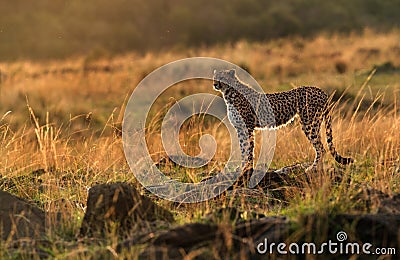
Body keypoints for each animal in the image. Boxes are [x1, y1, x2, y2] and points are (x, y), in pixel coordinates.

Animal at [212, 69, 354, 180]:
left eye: (222, 78)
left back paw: (312, 168)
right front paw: (241, 168)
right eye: (215, 77)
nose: (215, 84)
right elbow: (243, 148)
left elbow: (248, 149)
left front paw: (247, 169)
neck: (228, 93)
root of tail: (319, 89)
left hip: (309, 123)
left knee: (321, 147)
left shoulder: (248, 127)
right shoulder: (241, 129)